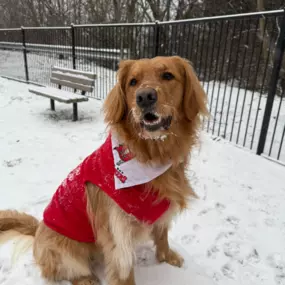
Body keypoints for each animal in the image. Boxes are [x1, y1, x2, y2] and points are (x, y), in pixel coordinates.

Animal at [0, 55, 206, 284]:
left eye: (168, 75)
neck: (150, 157)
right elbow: (124, 270)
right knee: (66, 271)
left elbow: (162, 235)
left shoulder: (162, 207)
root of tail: (37, 230)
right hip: (66, 251)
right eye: (133, 82)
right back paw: (86, 279)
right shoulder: (118, 229)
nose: (144, 97)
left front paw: (167, 257)